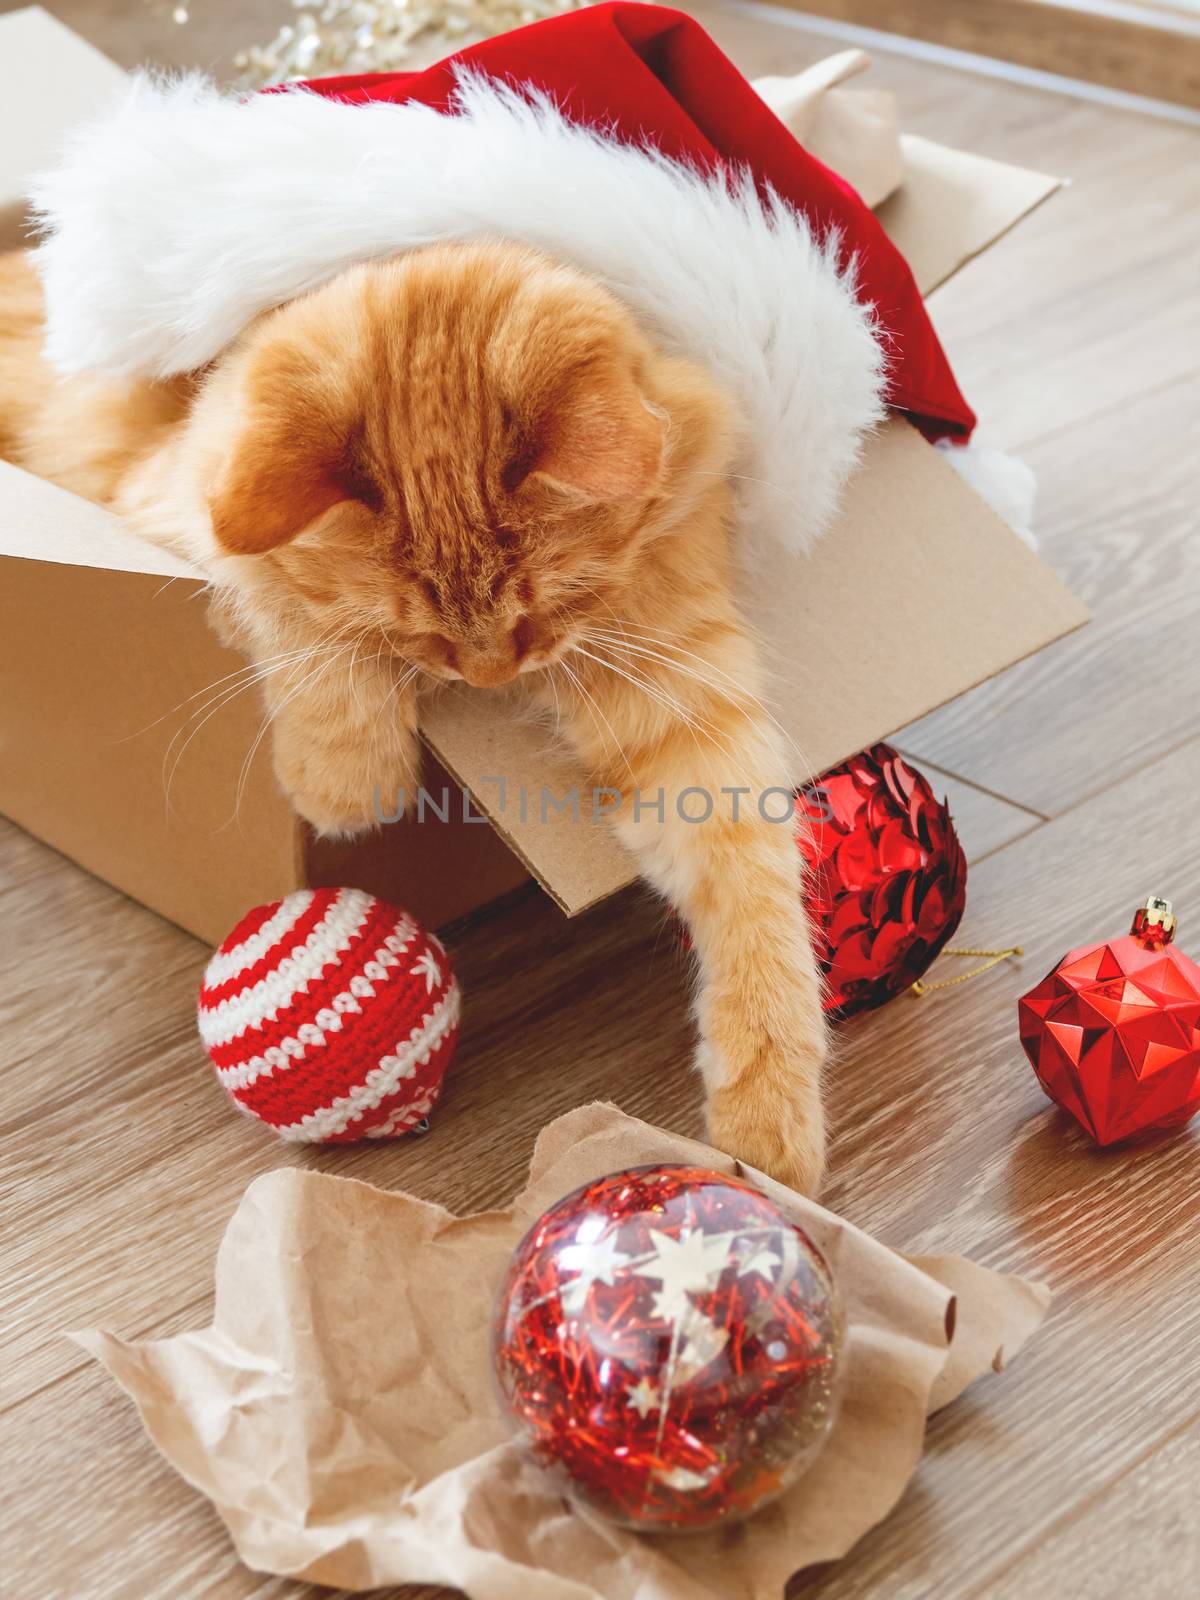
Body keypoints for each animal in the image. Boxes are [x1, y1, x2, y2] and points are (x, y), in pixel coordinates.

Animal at [0, 236, 825, 1190]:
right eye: (419, 632)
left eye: (545, 609)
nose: (490, 674)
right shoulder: (170, 498)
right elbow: (292, 611)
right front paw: (347, 787)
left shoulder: (687, 699)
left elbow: (759, 907)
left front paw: (770, 1134)